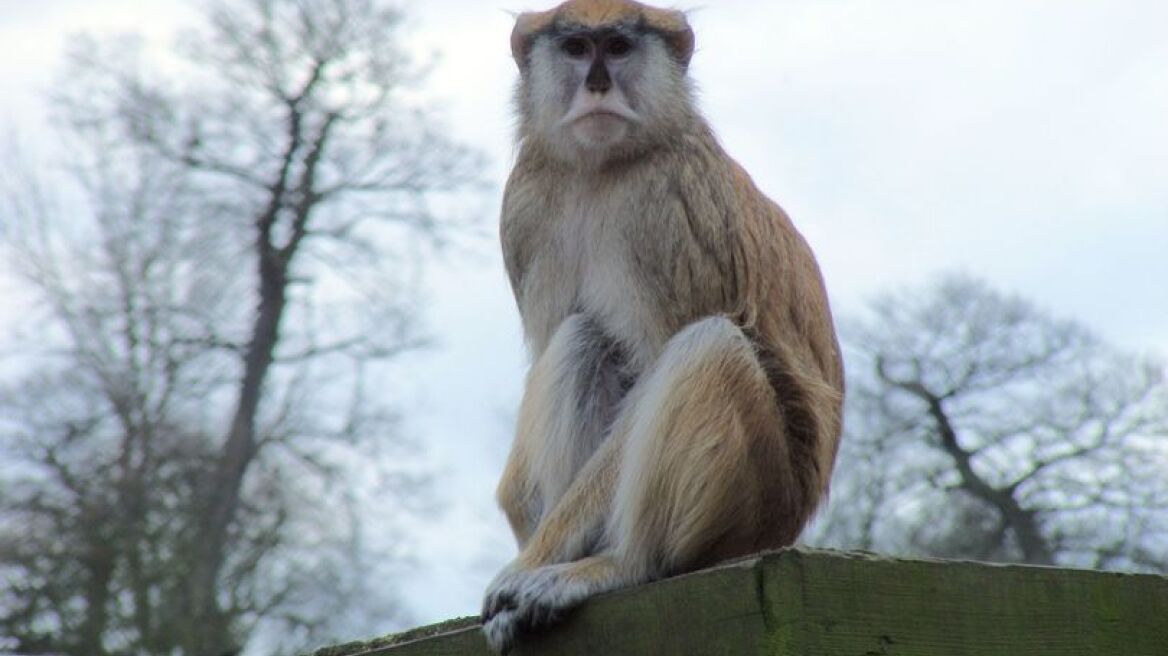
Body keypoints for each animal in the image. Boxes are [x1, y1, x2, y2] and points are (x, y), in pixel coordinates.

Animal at [478, 0, 845, 648]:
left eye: (620, 47)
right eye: (577, 48)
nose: (598, 84)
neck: (601, 171)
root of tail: (786, 528)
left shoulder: (668, 208)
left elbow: (660, 361)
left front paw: (532, 560)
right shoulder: (527, 206)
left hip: (755, 499)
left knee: (709, 344)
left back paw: (622, 564)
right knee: (580, 339)